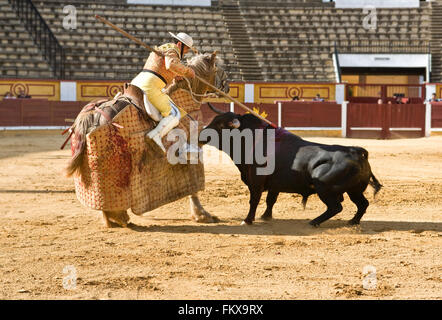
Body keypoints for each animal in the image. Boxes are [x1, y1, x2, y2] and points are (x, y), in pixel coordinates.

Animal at [67, 52, 230, 228]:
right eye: (219, 69)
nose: (227, 87)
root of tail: (91, 114)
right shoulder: (194, 148)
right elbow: (194, 186)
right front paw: (202, 215)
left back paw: (114, 219)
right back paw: (120, 217)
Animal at [202, 104, 382, 226]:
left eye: (221, 125)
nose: (201, 135)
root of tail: (356, 151)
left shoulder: (256, 181)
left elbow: (254, 200)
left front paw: (247, 220)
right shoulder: (274, 183)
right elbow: (270, 200)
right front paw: (266, 216)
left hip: (324, 187)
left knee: (336, 207)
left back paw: (314, 222)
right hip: (354, 190)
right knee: (362, 204)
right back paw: (353, 221)